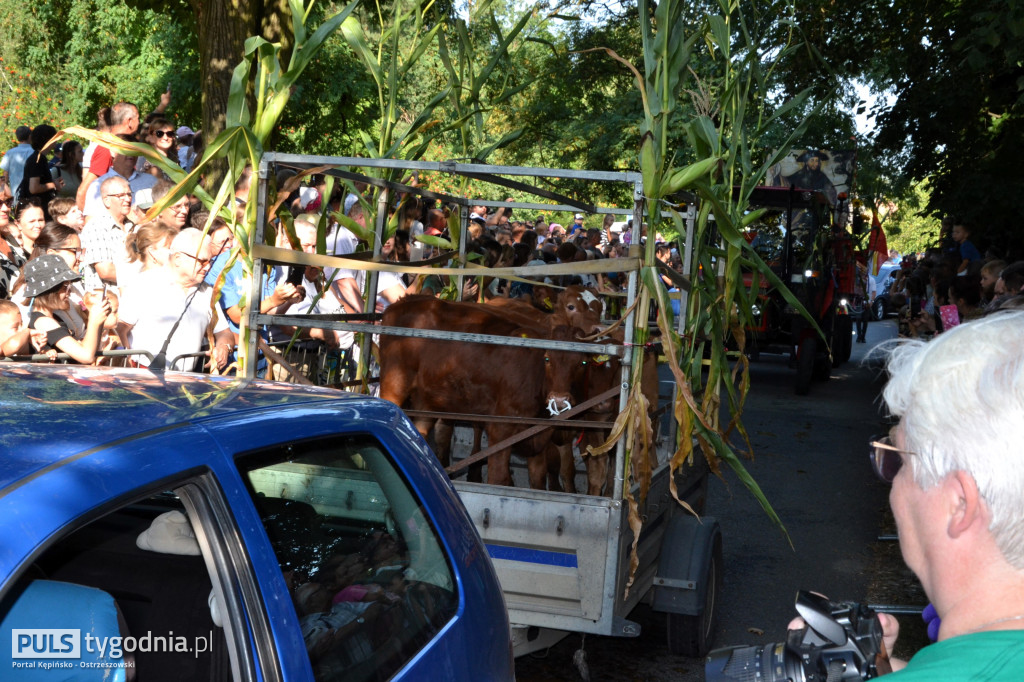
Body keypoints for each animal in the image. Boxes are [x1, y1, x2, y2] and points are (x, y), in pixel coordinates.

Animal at [378, 294, 589, 485]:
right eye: (547, 358)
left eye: (582, 363)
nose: (559, 400)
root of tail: (402, 302)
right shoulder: (500, 429)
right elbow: (499, 479)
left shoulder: (538, 441)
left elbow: (537, 481)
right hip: (394, 384)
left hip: (426, 401)